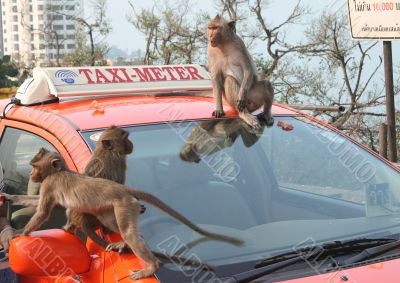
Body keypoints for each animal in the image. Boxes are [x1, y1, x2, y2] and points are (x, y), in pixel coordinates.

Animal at [18, 150, 244, 280]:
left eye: (34, 166)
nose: (30, 174)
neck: (59, 171)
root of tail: (122, 188)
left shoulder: (48, 184)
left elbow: (42, 211)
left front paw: (21, 234)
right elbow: (36, 203)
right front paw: (11, 197)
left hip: (125, 205)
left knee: (128, 232)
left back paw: (150, 266)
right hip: (118, 206)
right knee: (115, 224)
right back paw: (122, 244)